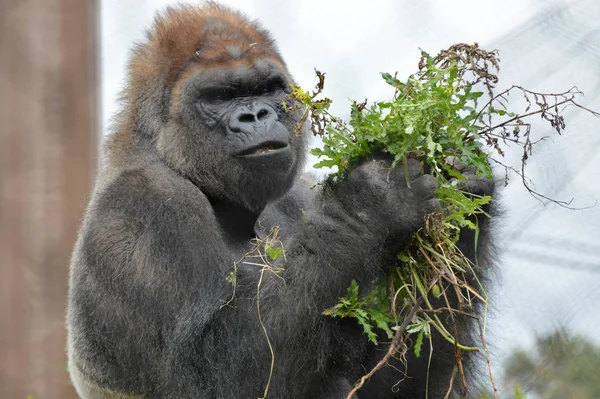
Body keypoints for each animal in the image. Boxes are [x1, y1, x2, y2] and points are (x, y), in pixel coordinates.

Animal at [68, 3, 494, 399]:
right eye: (220, 96)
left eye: (267, 89)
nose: (255, 114)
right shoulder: (146, 204)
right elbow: (225, 375)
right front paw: (370, 205)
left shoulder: (298, 196)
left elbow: (394, 384)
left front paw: (464, 189)